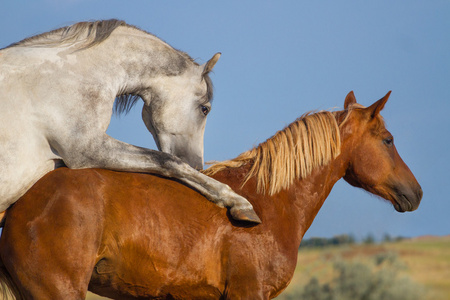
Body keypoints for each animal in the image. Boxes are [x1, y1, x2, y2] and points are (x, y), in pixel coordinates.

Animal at [0, 19, 260, 223]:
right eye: (205, 109)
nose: (198, 165)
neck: (68, 72)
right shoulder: (86, 149)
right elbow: (168, 161)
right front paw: (238, 202)